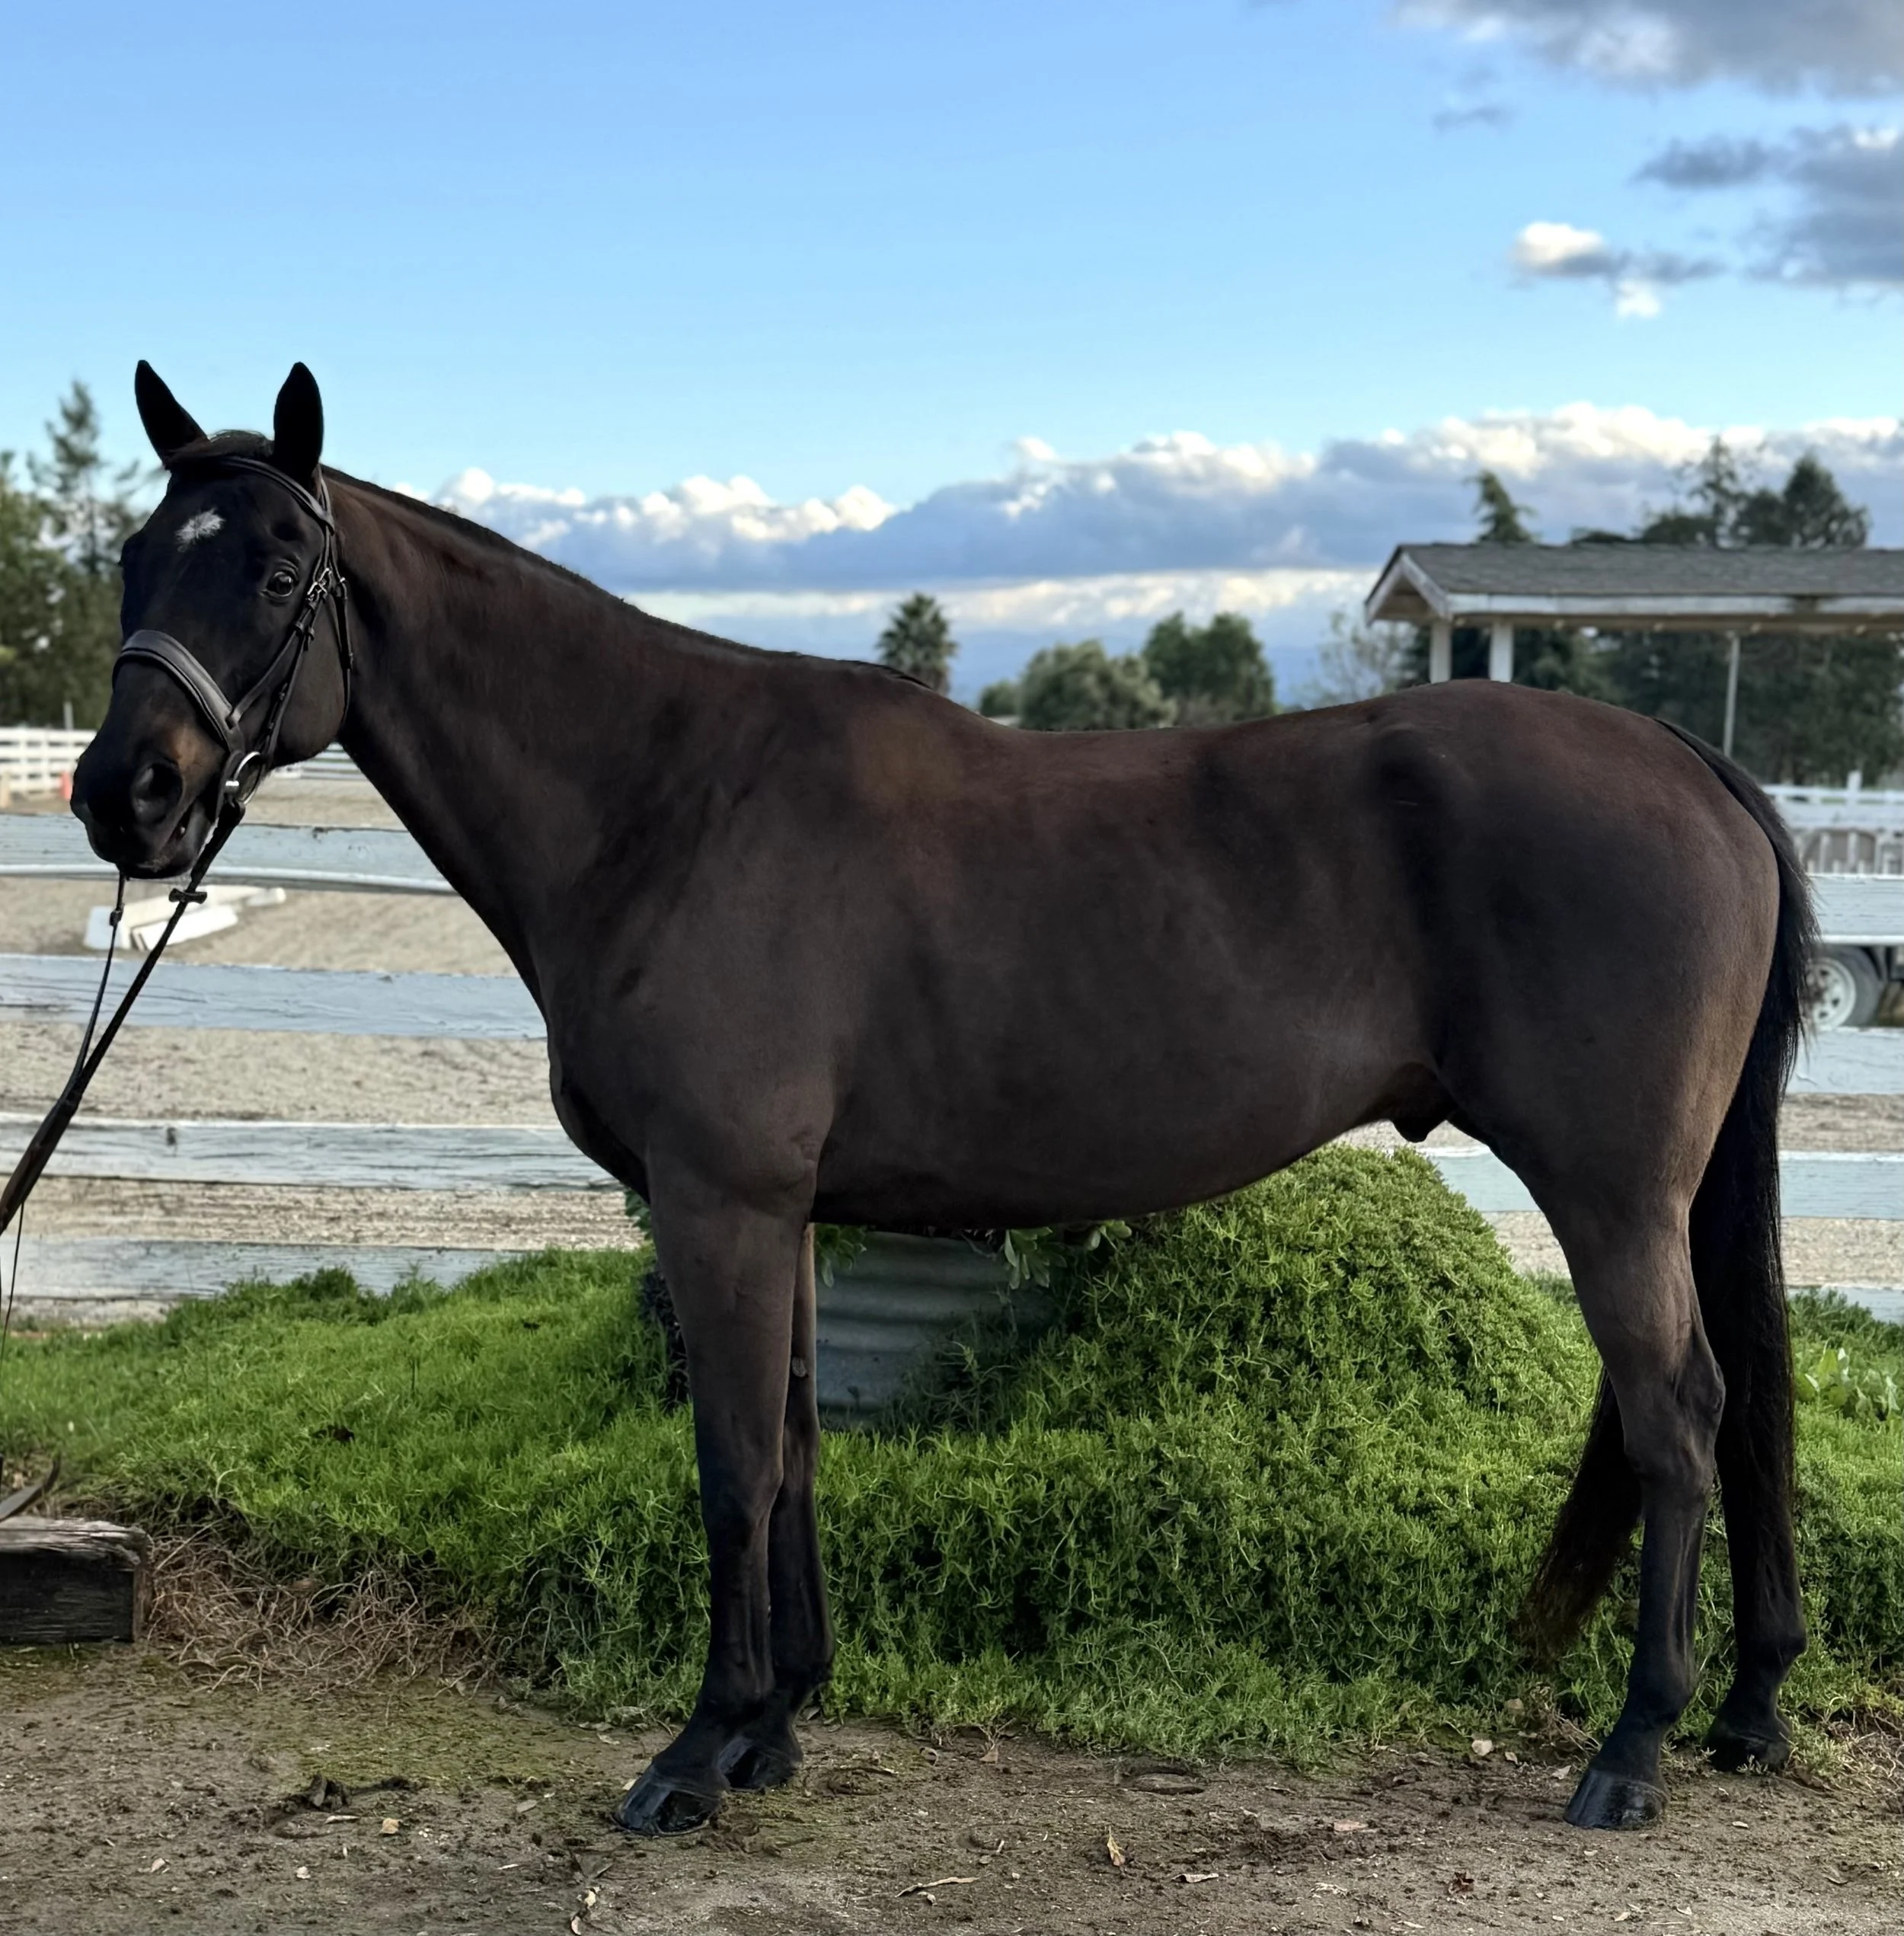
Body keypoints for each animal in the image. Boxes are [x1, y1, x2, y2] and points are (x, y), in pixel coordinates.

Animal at [72, 363, 1814, 1836]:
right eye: (136, 560)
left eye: (280, 571)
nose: (123, 794)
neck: (668, 799)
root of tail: (1692, 763)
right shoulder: (779, 1212)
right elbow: (790, 1443)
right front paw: (775, 1723)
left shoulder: (718, 1200)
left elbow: (731, 1464)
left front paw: (694, 1750)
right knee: (1728, 1415)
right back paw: (1746, 1707)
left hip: (1611, 1194)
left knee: (1679, 1415)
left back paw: (1632, 1745)